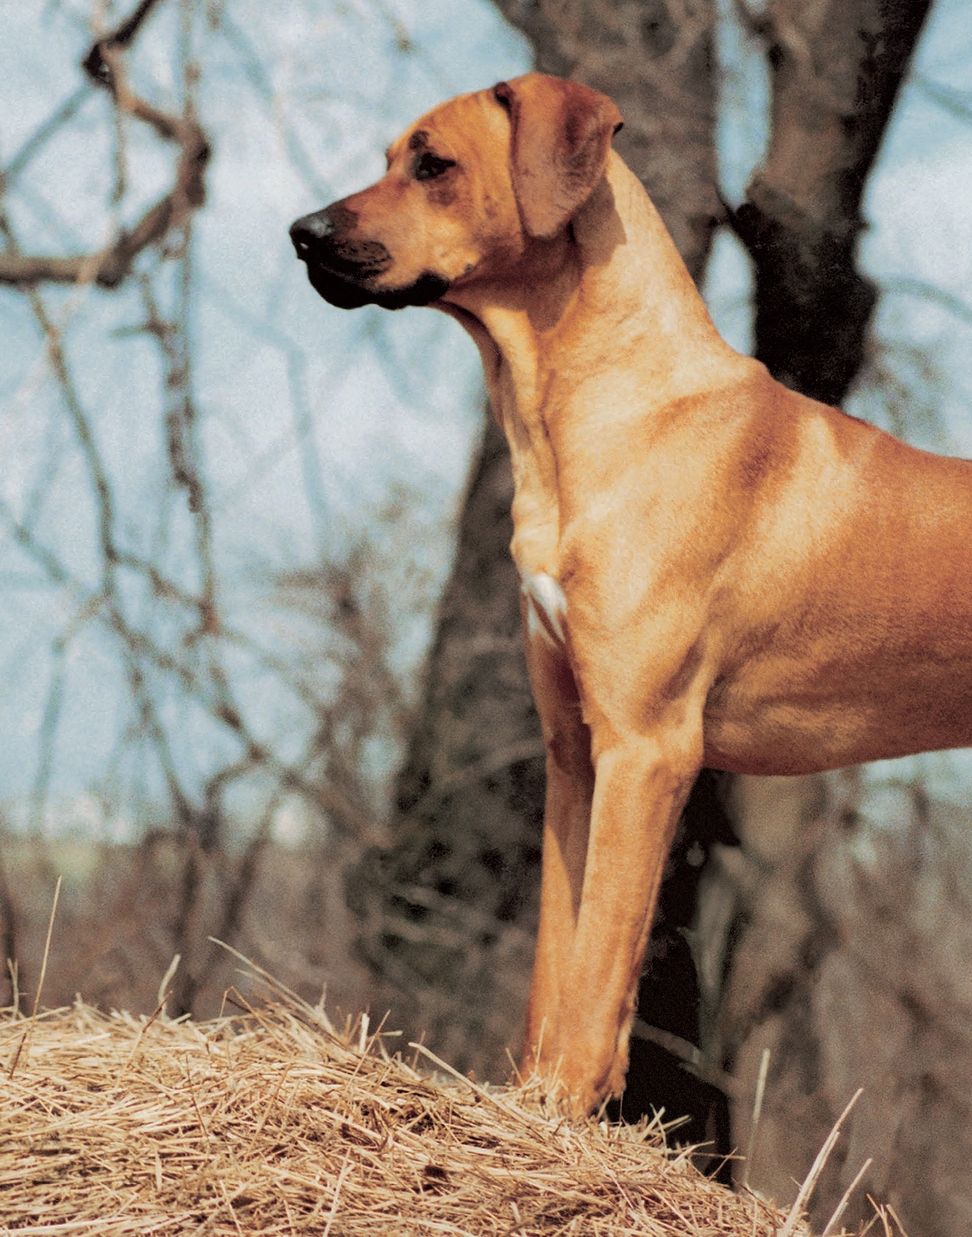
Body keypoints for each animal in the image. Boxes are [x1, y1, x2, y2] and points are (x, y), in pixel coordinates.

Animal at [291, 70, 969, 1113]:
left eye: (432, 165)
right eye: (389, 159)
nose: (302, 232)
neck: (592, 407)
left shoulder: (646, 750)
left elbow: (599, 970)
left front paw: (563, 1108)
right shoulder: (575, 752)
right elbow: (556, 966)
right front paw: (533, 1104)